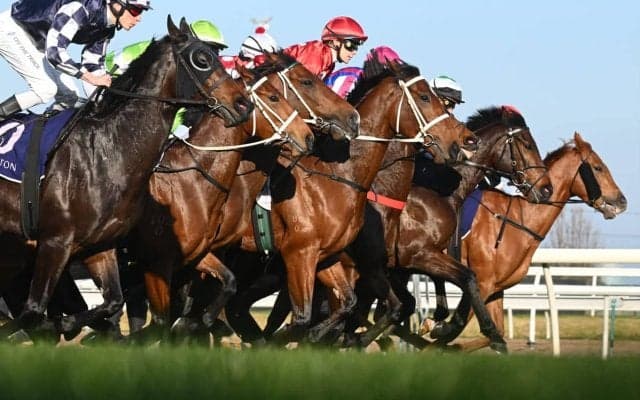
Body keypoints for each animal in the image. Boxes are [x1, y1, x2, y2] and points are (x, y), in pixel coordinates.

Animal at [0, 16, 252, 336]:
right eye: (202, 60)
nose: (243, 104)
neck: (107, 152)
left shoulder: (100, 247)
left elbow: (113, 301)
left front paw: (69, 323)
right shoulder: (56, 243)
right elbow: (33, 311)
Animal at [435, 132, 626, 351]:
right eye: (598, 167)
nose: (622, 201)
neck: (517, 218)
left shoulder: (495, 287)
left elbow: (496, 333)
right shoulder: (482, 282)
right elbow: (452, 330)